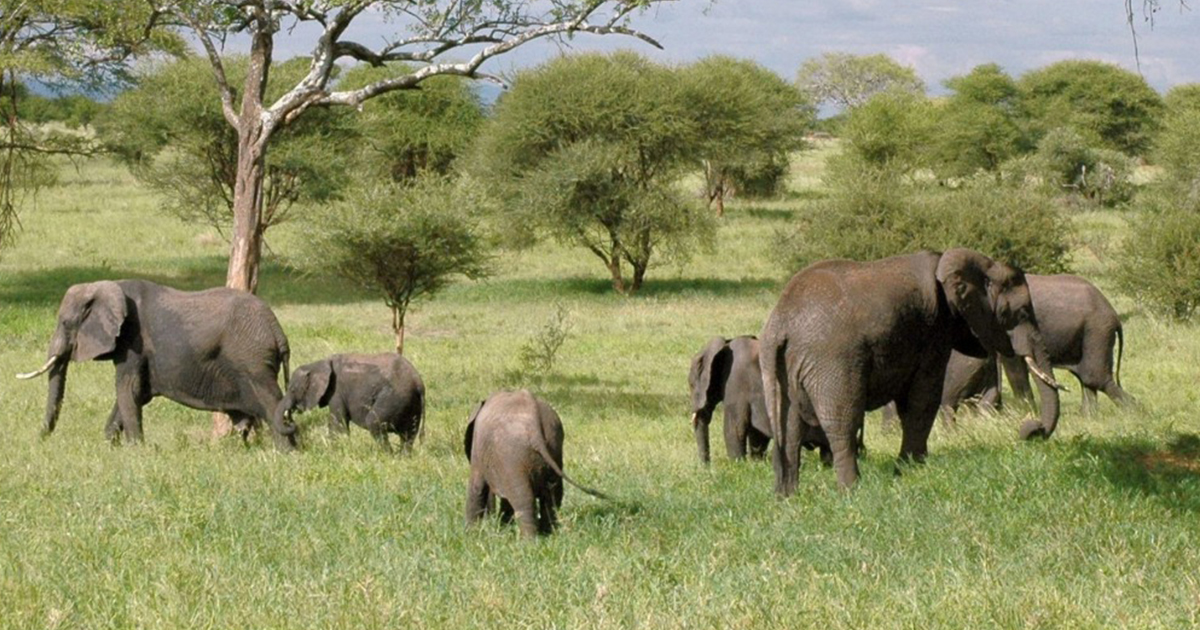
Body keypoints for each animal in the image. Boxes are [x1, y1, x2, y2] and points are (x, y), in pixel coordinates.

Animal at [16, 279, 297, 449]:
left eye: (65, 323)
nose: (40, 441)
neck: (107, 286)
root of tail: (278, 331)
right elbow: (135, 394)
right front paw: (110, 446)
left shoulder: (133, 342)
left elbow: (128, 390)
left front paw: (135, 450)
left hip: (252, 361)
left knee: (271, 402)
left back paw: (286, 452)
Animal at [278, 353, 425, 452]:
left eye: (292, 390)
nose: (290, 421)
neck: (318, 364)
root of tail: (418, 383)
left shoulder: (336, 392)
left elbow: (337, 424)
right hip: (411, 403)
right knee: (409, 434)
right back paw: (403, 457)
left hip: (394, 397)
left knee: (374, 422)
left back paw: (387, 456)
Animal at [464, 390, 608, 537]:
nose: (490, 517)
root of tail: (534, 424)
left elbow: (476, 487)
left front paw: (470, 533)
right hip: (554, 446)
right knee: (553, 495)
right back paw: (549, 534)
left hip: (514, 455)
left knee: (524, 498)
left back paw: (529, 541)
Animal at [760, 248, 1063, 495]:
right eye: (1021, 312)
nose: (1030, 430)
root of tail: (780, 324)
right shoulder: (934, 329)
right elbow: (923, 398)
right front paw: (911, 471)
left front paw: (911, 468)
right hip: (833, 362)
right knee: (842, 421)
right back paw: (852, 491)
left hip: (782, 367)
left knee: (790, 428)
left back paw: (787, 497)